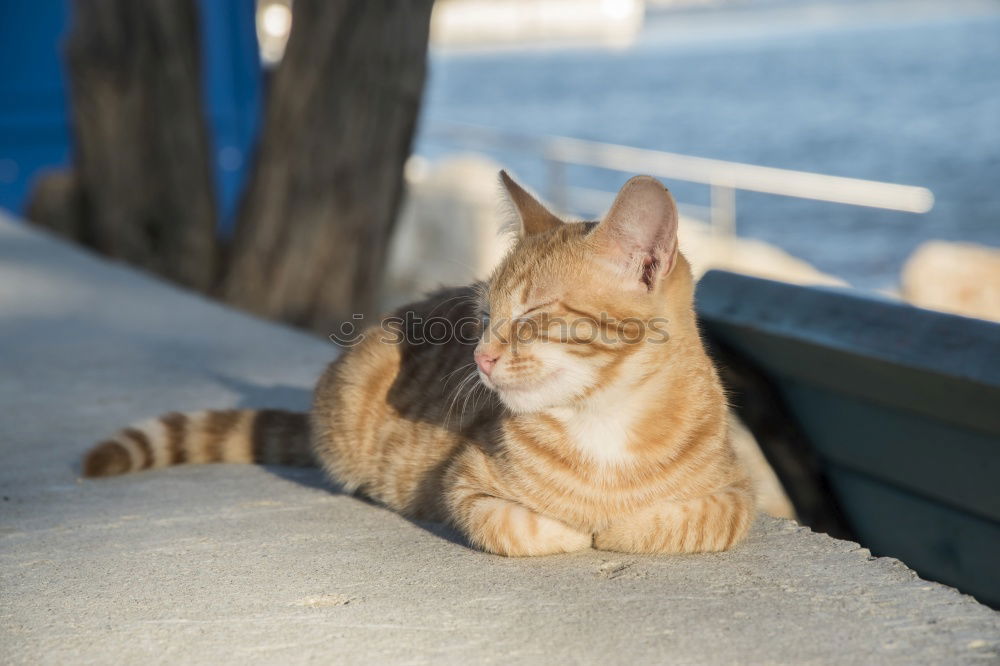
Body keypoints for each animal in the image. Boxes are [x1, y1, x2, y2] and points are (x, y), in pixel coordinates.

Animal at [86, 172, 752, 556]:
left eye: (533, 313)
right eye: (484, 314)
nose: (481, 356)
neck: (604, 423)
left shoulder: (738, 494)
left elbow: (689, 522)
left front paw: (616, 526)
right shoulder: (462, 484)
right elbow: (522, 529)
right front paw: (574, 530)